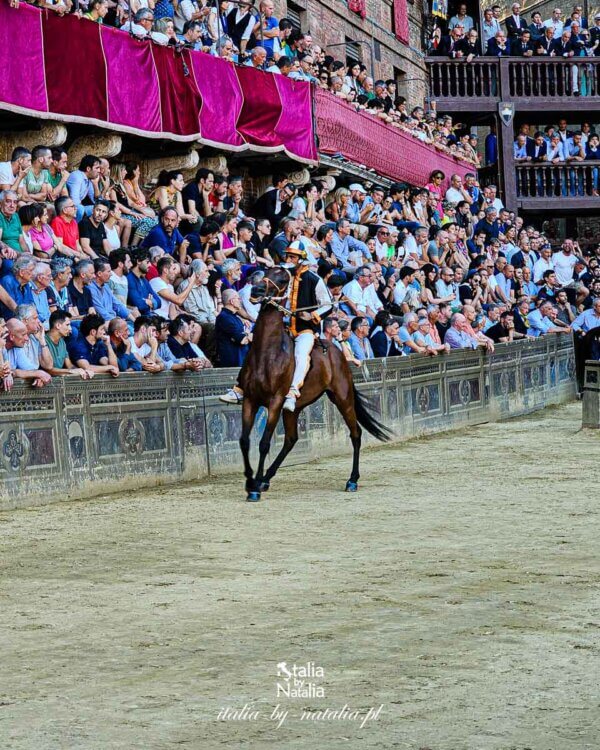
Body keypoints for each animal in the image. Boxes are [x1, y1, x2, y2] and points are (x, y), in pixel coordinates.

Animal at [237, 268, 392, 502]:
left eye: (283, 279)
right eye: (265, 272)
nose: (256, 290)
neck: (267, 354)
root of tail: (338, 351)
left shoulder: (274, 402)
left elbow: (264, 443)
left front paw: (254, 488)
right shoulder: (250, 400)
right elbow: (245, 441)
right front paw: (250, 481)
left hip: (342, 398)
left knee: (355, 433)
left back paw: (352, 480)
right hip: (293, 409)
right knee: (291, 439)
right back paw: (265, 479)